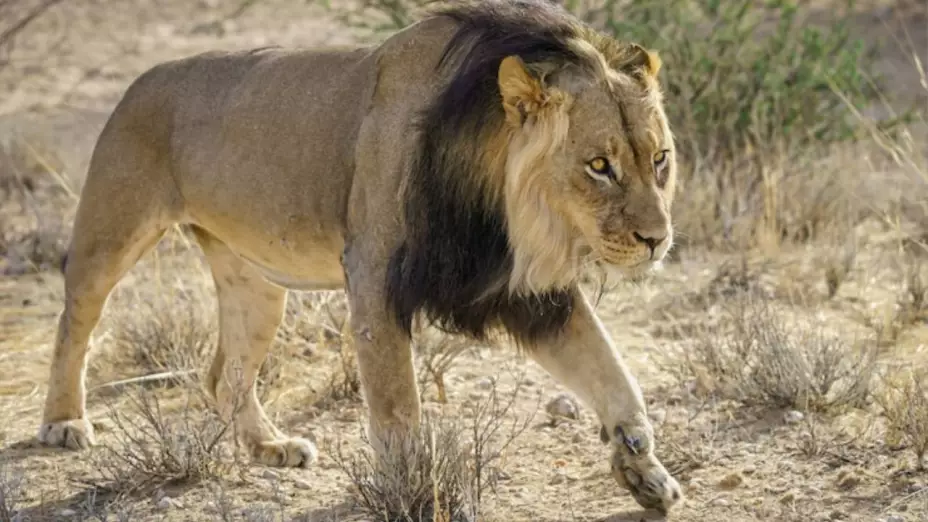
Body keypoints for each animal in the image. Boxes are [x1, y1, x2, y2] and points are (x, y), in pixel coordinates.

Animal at [37, 0, 682, 512]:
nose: (657, 238)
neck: (500, 207)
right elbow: (398, 411)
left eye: (659, 160)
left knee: (225, 373)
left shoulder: (520, 290)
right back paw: (64, 422)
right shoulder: (373, 273)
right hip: (111, 232)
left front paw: (644, 469)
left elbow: (613, 374)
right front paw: (414, 493)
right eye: (598, 166)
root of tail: (141, 78)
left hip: (254, 284)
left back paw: (270, 447)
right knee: (75, 323)